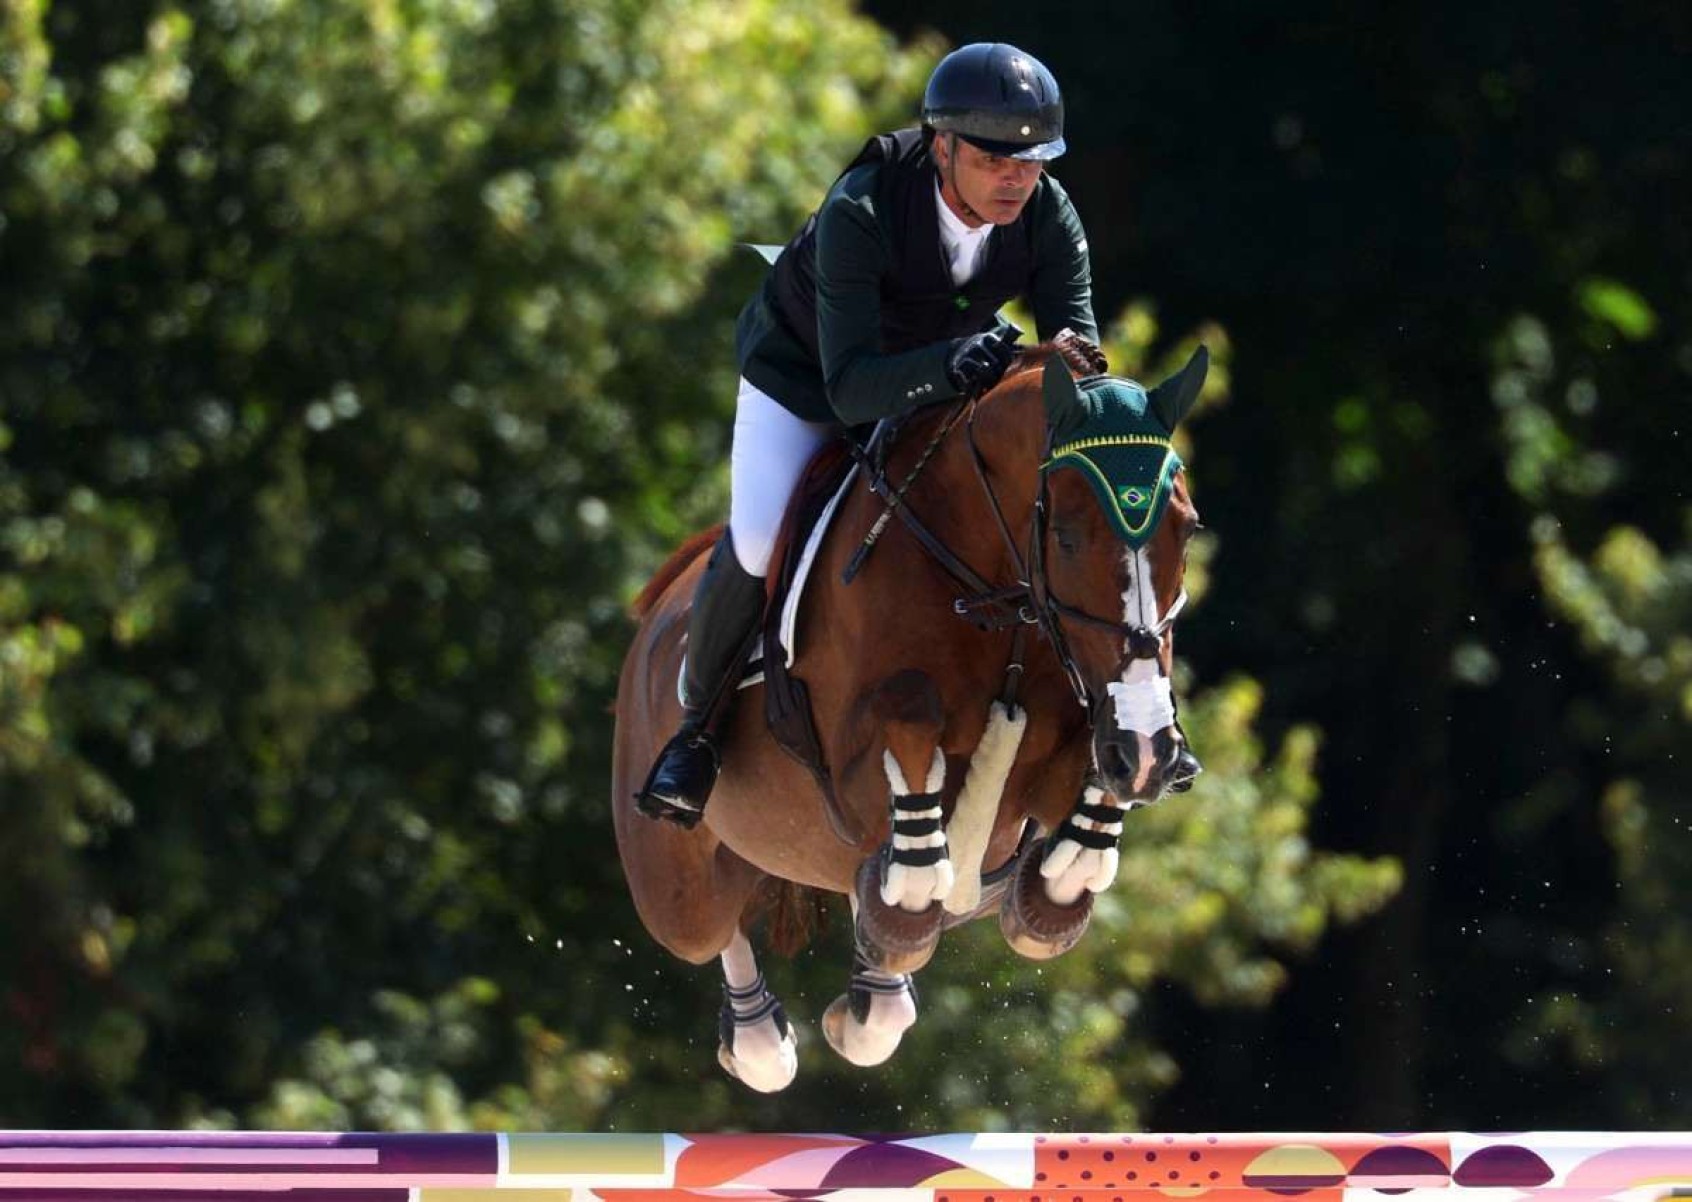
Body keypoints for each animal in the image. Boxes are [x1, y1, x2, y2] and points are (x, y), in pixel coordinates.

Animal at [615, 345, 1211, 1090]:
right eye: (1068, 537)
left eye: (1187, 528)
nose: (1150, 749)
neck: (994, 595)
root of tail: (663, 604)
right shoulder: (850, 775)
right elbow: (910, 737)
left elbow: (1073, 837)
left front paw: (1061, 873)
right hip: (676, 893)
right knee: (717, 928)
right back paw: (762, 1038)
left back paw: (872, 990)